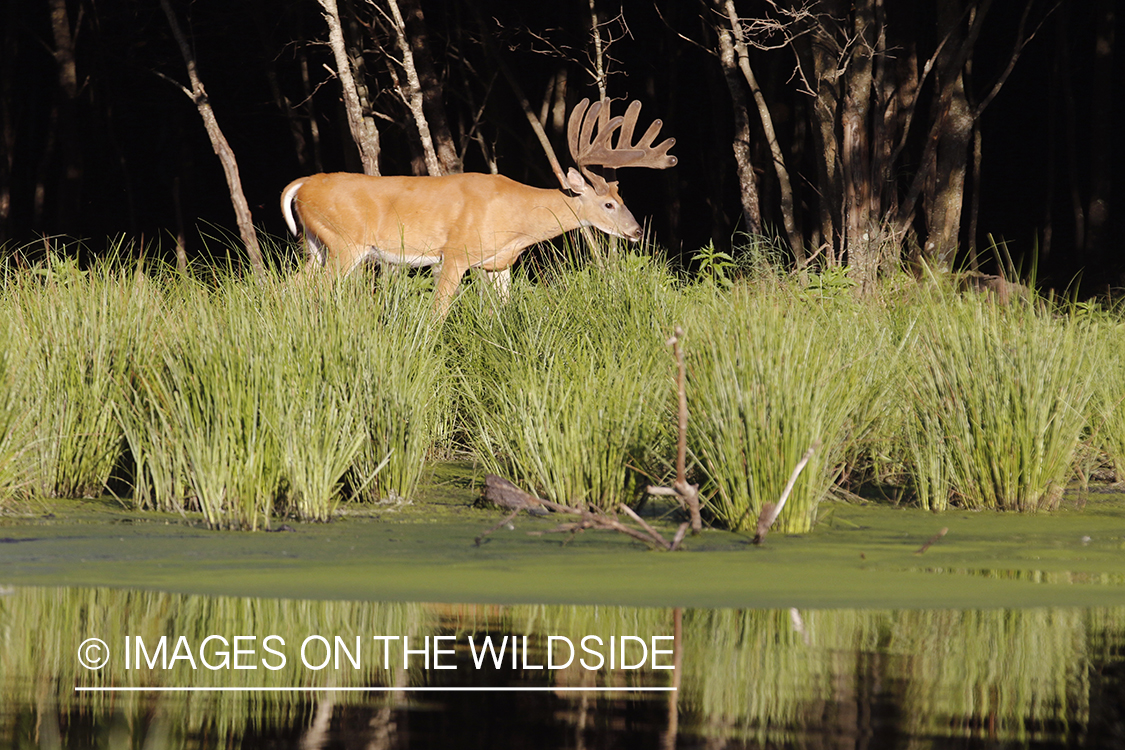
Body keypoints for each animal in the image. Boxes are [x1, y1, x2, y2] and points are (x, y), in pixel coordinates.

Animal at [279, 97, 675, 317]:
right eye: (608, 203)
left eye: (622, 199)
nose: (637, 231)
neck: (518, 218)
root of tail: (303, 184)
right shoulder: (455, 253)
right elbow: (437, 314)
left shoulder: (497, 263)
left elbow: (501, 313)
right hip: (346, 244)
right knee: (309, 290)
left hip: (316, 245)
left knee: (285, 288)